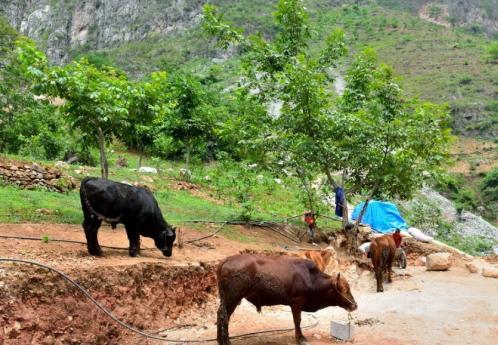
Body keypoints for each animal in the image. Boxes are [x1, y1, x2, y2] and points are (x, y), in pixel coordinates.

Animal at [216, 253, 356, 344]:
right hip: (232, 299)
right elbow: (297, 321)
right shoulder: (296, 302)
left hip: (227, 299)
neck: (311, 277)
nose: (355, 305)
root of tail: (227, 259)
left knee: (220, 315)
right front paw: (300, 339)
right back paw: (226, 341)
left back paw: (219, 340)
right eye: (345, 289)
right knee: (224, 317)